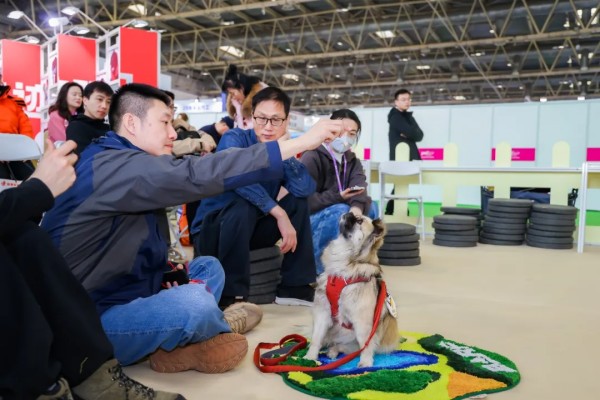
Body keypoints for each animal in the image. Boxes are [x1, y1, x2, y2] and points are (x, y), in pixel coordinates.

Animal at [304, 212, 401, 368]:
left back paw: (334, 351)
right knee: (330, 342)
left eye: (359, 221)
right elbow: (316, 339)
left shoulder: (361, 321)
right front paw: (310, 357)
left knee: (346, 347)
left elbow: (366, 345)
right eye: (355, 215)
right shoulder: (322, 314)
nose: (349, 213)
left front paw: (365, 363)